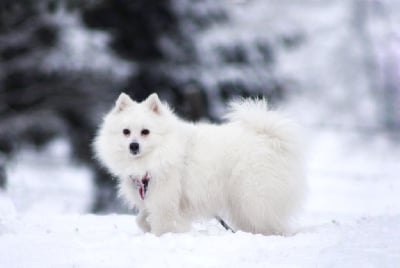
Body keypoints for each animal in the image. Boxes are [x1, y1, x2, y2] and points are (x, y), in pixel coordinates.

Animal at [94, 93, 306, 236]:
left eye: (145, 132)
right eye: (126, 132)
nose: (133, 145)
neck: (158, 153)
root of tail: (268, 138)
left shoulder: (165, 199)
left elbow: (162, 224)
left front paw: (162, 236)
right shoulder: (152, 196)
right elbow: (141, 218)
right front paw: (147, 227)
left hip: (252, 197)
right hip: (243, 203)